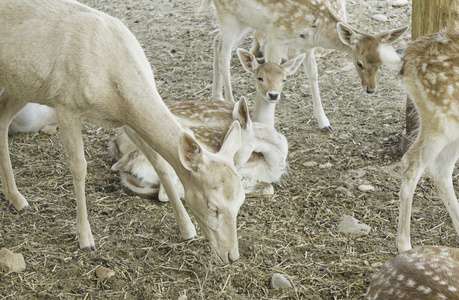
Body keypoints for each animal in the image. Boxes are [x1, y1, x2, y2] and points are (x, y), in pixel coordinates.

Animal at [0, 0, 246, 264]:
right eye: (212, 206)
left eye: (241, 200)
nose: (232, 255)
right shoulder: (66, 105)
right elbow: (79, 168)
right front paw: (86, 240)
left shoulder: (127, 118)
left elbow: (160, 162)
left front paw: (187, 229)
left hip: (22, 84)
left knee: (2, 117)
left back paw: (16, 198)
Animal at [199, 0, 408, 131]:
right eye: (359, 63)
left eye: (380, 64)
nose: (370, 89)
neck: (314, 27)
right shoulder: (275, 37)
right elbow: (270, 70)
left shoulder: (306, 46)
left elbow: (313, 74)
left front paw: (324, 122)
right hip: (229, 16)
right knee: (224, 55)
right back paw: (230, 101)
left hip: (243, 20)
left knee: (216, 41)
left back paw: (216, 96)